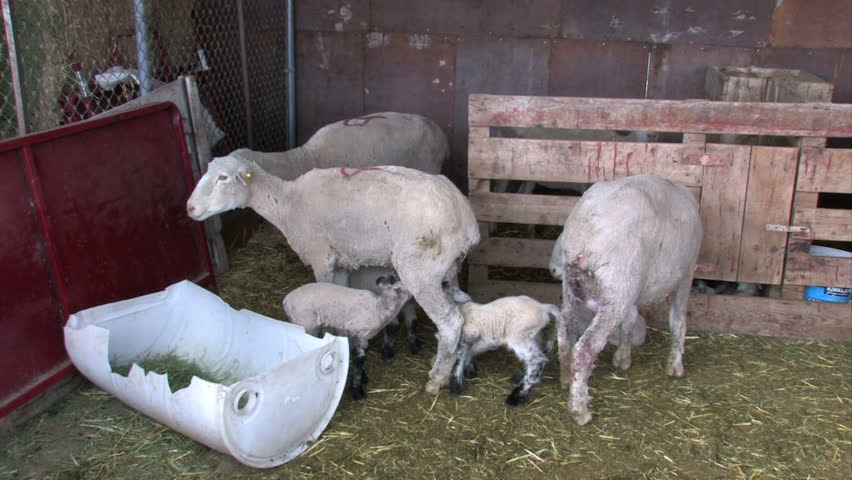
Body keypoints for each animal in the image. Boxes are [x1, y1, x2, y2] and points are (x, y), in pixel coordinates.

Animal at [283, 275, 412, 400]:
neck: (379, 308)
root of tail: (286, 301)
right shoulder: (355, 331)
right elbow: (359, 359)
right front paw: (358, 392)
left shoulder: (361, 337)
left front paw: (362, 378)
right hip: (306, 322)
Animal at [556, 174, 703, 425]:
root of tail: (585, 231)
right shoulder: (686, 273)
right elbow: (678, 321)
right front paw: (675, 364)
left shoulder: (634, 289)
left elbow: (629, 322)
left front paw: (622, 358)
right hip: (617, 287)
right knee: (585, 348)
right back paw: (580, 409)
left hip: (578, 286)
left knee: (565, 333)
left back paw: (566, 378)